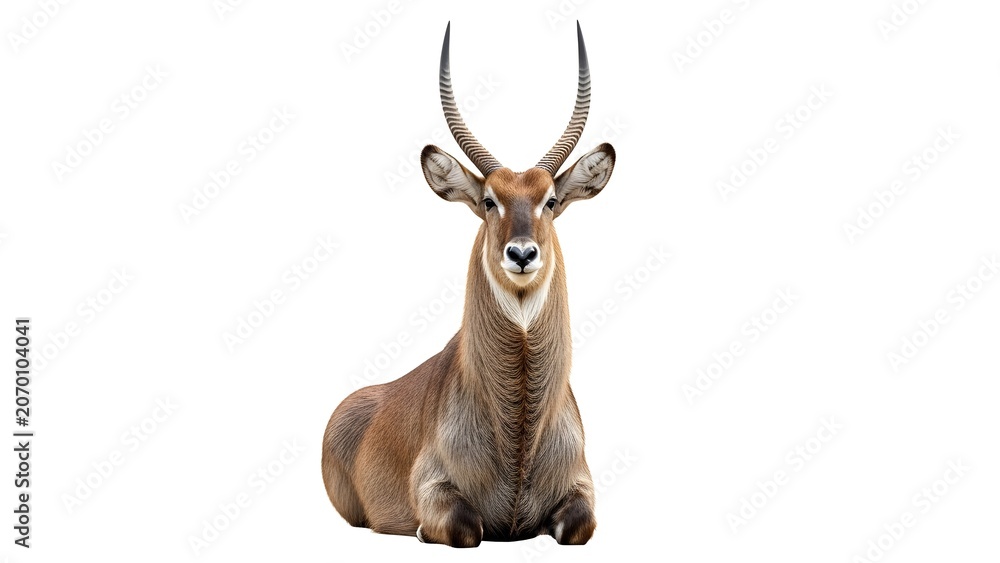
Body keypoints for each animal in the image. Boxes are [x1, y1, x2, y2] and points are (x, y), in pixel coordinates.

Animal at [322, 21, 615, 548]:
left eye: (551, 200)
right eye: (489, 200)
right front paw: (422, 532)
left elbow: (578, 526)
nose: (521, 254)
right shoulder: (436, 489)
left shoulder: (582, 488)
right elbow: (465, 526)